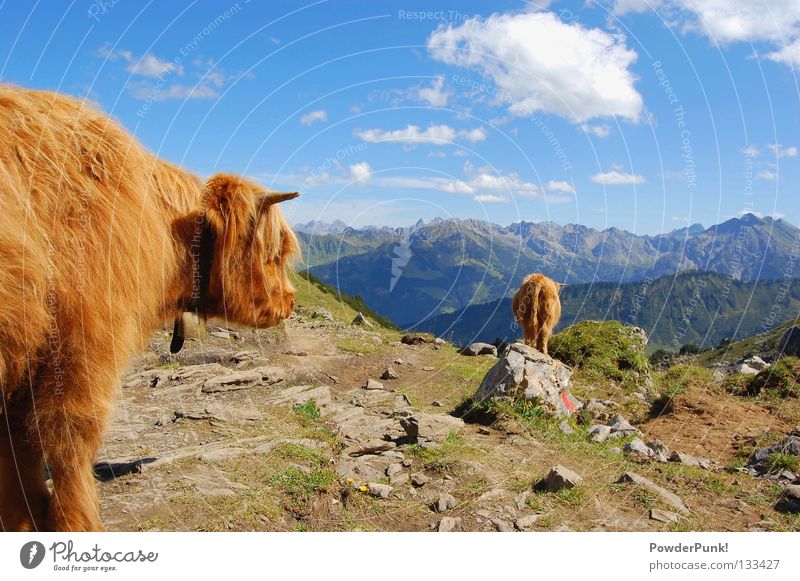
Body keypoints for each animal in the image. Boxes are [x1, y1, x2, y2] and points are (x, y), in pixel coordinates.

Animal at [0, 85, 300, 532]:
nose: (291, 301)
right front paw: (79, 523)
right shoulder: (79, 351)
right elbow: (69, 442)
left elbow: (18, 459)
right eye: (276, 253)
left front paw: (26, 521)